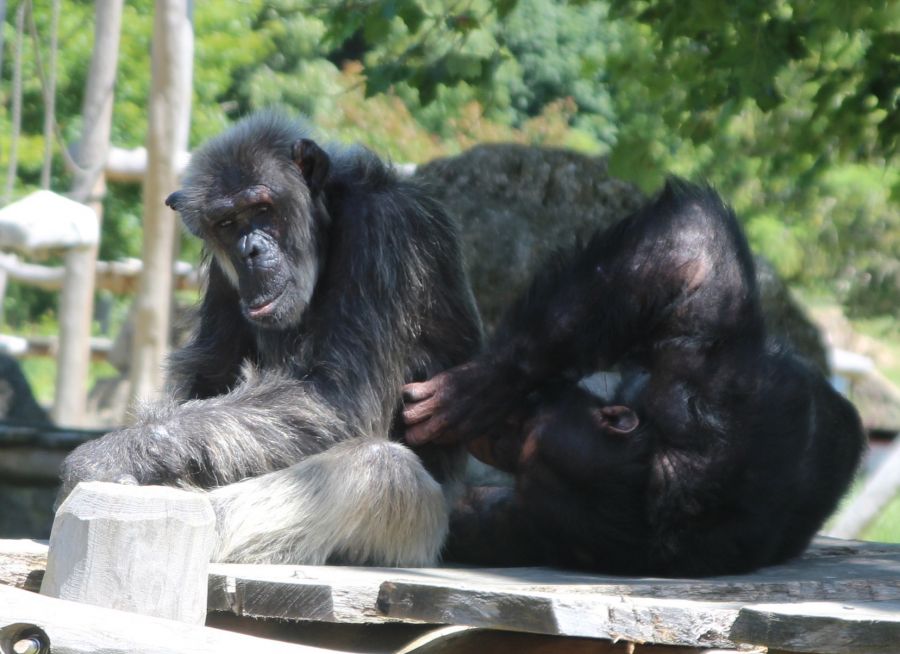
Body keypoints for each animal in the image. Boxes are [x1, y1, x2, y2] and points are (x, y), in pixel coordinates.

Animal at [59, 113, 482, 568]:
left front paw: (114, 454)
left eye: (262, 209)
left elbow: (339, 397)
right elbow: (212, 378)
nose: (250, 250)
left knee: (381, 468)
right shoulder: (223, 277)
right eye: (227, 223)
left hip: (421, 537)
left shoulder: (385, 231)